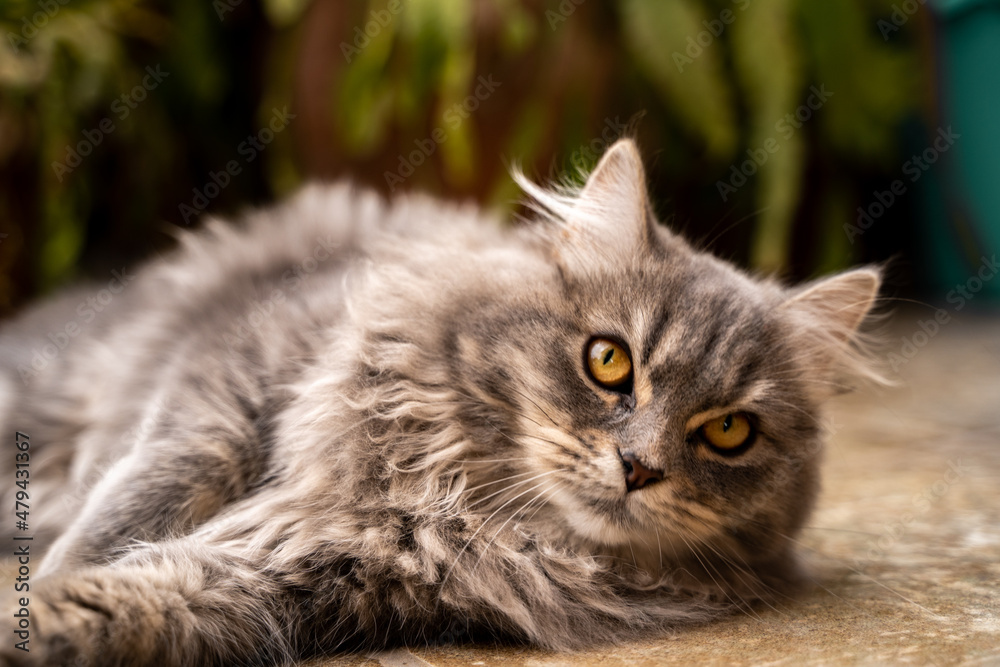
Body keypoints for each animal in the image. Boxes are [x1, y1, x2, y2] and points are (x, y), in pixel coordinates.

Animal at [0, 138, 880, 664]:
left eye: (728, 431)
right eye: (609, 361)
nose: (639, 466)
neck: (458, 503)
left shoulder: (307, 577)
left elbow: (141, 598)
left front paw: (40, 616)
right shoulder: (232, 370)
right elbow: (149, 491)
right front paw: (60, 565)